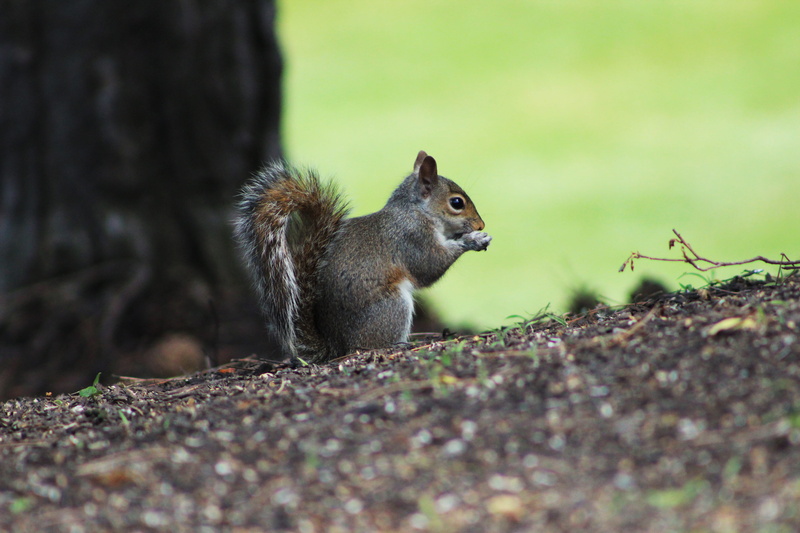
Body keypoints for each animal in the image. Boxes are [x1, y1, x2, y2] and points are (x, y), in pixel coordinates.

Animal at [234, 150, 491, 364]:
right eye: (456, 203)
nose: (481, 224)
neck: (417, 212)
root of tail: (337, 347)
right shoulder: (412, 238)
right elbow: (430, 266)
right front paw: (473, 240)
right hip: (392, 307)